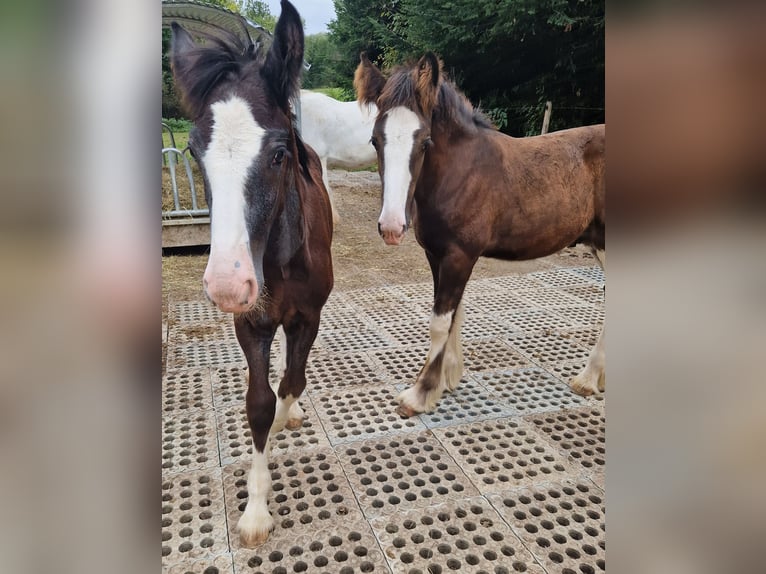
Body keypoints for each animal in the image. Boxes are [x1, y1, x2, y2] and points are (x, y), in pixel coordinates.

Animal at [170, 0, 333, 547]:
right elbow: (259, 403)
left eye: (280, 154)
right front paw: (256, 511)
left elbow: (291, 381)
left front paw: (286, 417)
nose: (227, 285)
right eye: (194, 152)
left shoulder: (308, 316)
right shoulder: (251, 323)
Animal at [354, 53, 605, 417]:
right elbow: (453, 316)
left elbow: (440, 322)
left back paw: (586, 378)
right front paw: (447, 379)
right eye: (375, 140)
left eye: (425, 141)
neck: (462, 173)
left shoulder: (460, 256)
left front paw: (420, 393)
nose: (391, 227)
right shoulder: (437, 255)